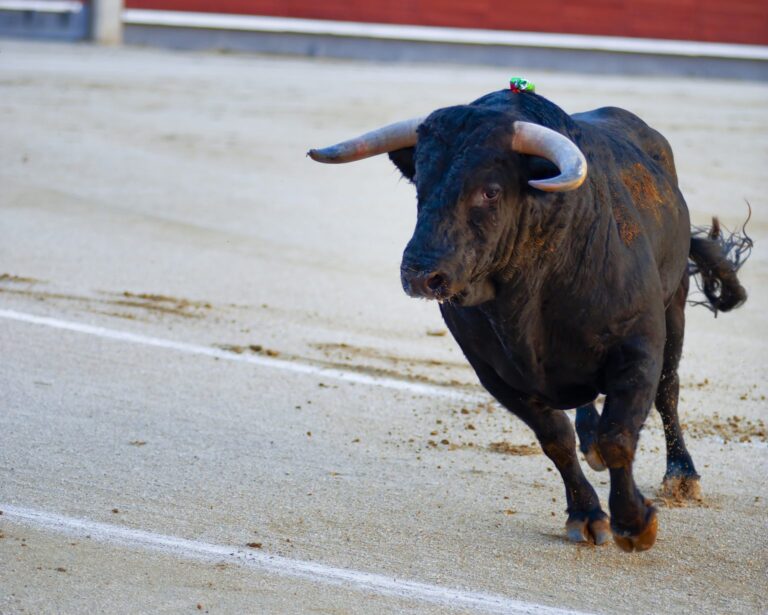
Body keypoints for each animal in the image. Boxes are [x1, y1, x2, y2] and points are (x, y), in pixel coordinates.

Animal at [308, 90, 748, 552]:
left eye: (491, 191)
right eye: (420, 186)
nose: (420, 274)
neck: (529, 289)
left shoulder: (639, 344)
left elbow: (619, 434)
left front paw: (634, 522)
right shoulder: (494, 372)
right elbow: (556, 438)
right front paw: (587, 515)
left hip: (674, 303)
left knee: (668, 389)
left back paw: (682, 475)